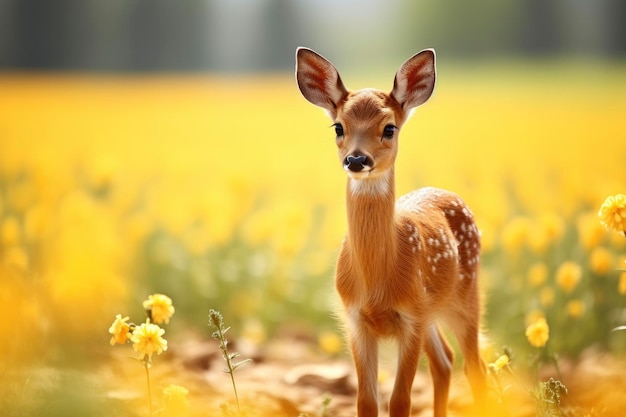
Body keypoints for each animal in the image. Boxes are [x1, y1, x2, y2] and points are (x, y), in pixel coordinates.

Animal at [294, 48, 486, 416]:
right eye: (338, 126)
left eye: (389, 128)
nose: (357, 160)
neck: (376, 282)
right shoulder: (356, 321)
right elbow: (366, 401)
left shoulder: (411, 318)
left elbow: (400, 401)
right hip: (433, 313)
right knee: (445, 361)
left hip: (465, 298)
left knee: (476, 367)